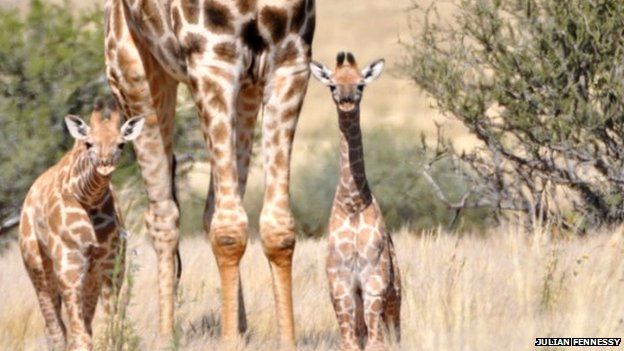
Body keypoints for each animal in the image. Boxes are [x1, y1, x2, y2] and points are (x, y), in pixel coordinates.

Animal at [18, 102, 145, 351]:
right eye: (89, 143)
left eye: (121, 144)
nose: (105, 165)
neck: (88, 198)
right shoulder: (69, 264)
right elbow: (79, 334)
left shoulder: (111, 264)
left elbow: (112, 326)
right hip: (38, 267)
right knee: (55, 328)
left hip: (90, 277)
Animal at [103, 0, 316, 346]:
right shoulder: (212, 61)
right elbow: (229, 232)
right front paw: (228, 343)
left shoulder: (290, 62)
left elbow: (278, 229)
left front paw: (286, 342)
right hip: (133, 75)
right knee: (163, 215)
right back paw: (166, 336)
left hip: (246, 90)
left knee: (212, 208)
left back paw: (241, 327)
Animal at [310, 53, 402, 351]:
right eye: (332, 85)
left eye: (361, 84)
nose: (347, 101)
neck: (352, 203)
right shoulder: (341, 284)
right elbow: (349, 341)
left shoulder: (374, 280)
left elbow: (376, 342)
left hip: (395, 298)